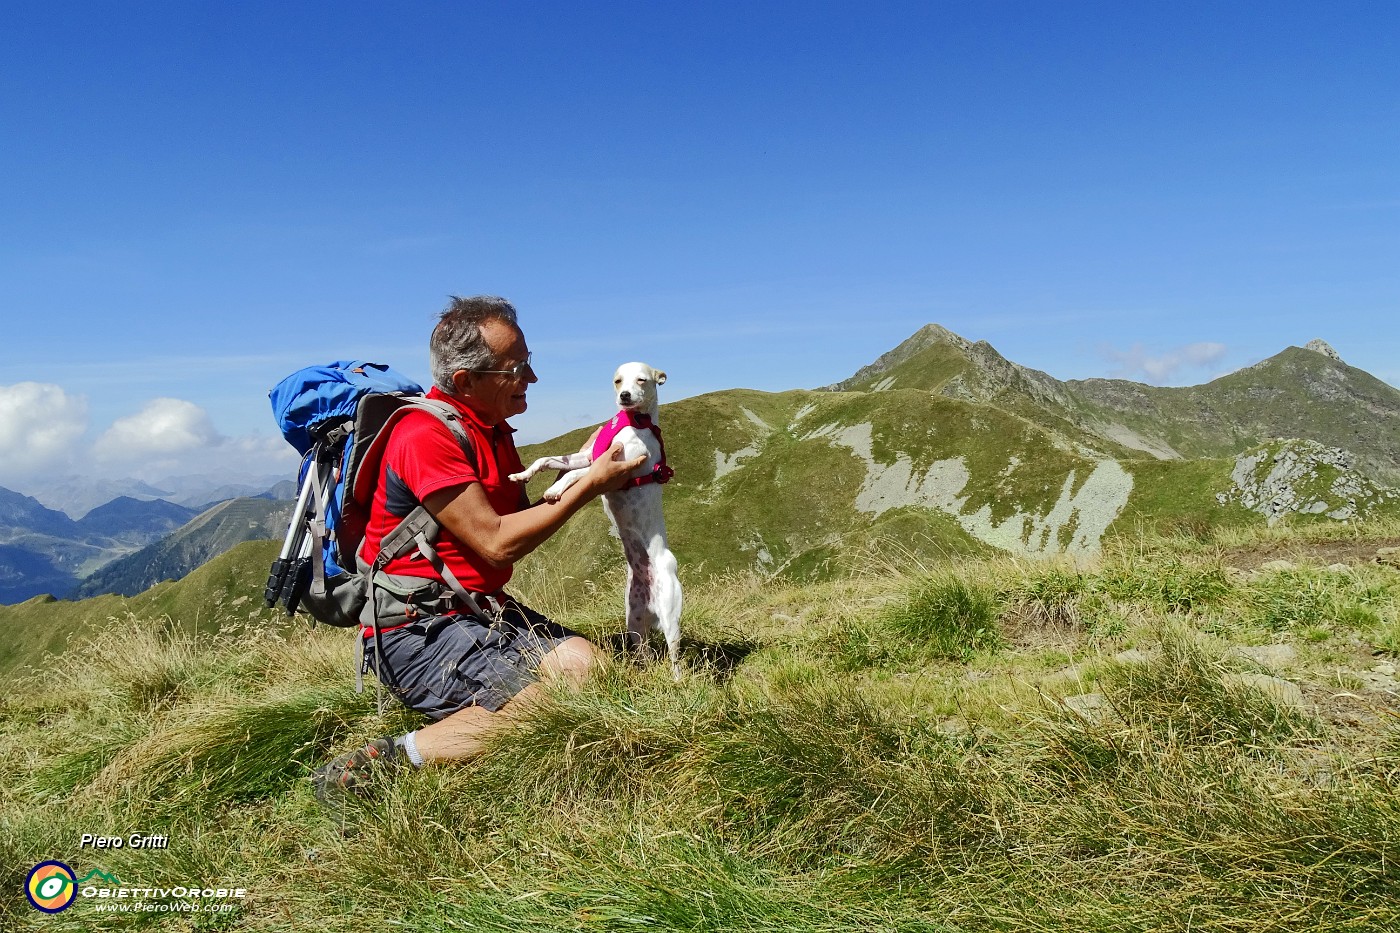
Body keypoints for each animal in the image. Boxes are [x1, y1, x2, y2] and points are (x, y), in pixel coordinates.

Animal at [515, 358, 688, 672]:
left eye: (642, 380)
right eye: (618, 381)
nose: (625, 396)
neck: (634, 422)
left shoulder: (611, 469)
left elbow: (573, 476)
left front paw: (554, 490)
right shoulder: (589, 456)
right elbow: (547, 461)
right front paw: (522, 475)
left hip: (672, 620)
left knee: (675, 659)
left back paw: (677, 679)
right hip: (634, 622)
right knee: (643, 653)